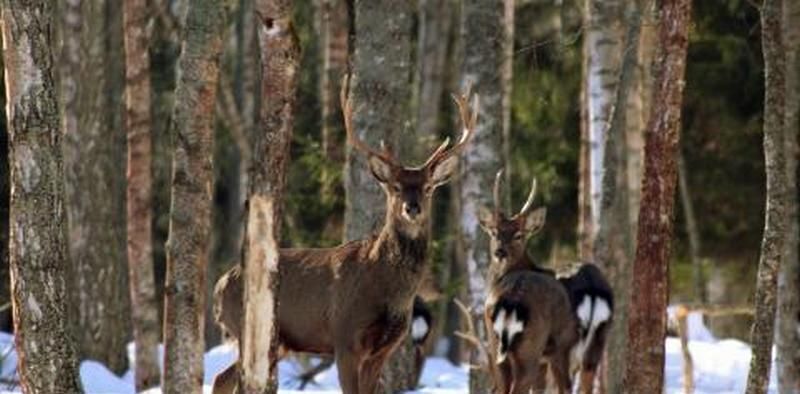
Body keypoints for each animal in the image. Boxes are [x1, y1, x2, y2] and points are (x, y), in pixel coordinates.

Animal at [209, 77, 478, 394]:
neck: (388, 289)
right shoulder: (345, 337)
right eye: (396, 187)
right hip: (248, 329)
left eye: (427, 188)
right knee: (226, 378)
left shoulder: (383, 349)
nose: (412, 208)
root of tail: (220, 285)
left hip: (275, 343)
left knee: (223, 378)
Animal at [476, 172, 580, 394]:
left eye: (518, 235)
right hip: (532, 347)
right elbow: (564, 387)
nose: (499, 252)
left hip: (495, 345)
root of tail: (511, 302)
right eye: (494, 232)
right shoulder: (562, 346)